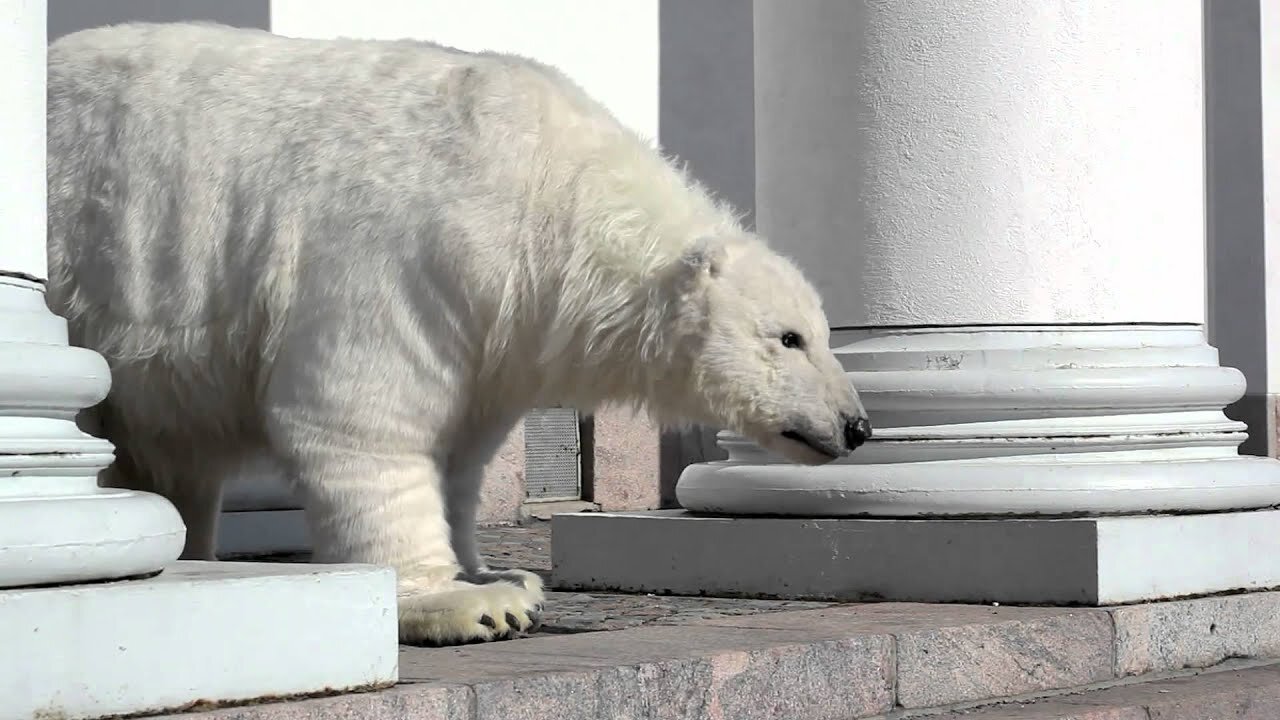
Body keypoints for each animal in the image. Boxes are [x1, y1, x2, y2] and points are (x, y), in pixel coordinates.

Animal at [47, 22, 870, 640]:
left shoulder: (499, 326)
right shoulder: (410, 248)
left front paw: (497, 571)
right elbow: (357, 416)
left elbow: (463, 449)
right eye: (789, 338)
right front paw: (466, 603)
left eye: (823, 334)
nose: (856, 425)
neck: (547, 188)